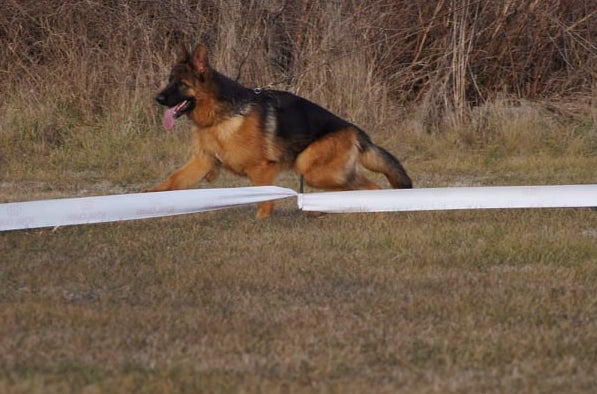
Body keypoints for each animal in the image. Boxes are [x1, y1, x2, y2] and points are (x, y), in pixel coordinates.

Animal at [147, 43, 412, 219]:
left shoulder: (261, 169)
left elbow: (264, 202)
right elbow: (172, 181)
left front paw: (260, 223)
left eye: (181, 84)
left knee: (361, 189)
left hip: (312, 169)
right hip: (328, 172)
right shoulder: (202, 162)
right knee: (369, 188)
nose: (158, 99)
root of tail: (356, 131)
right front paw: (147, 199)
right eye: (169, 81)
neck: (222, 115)